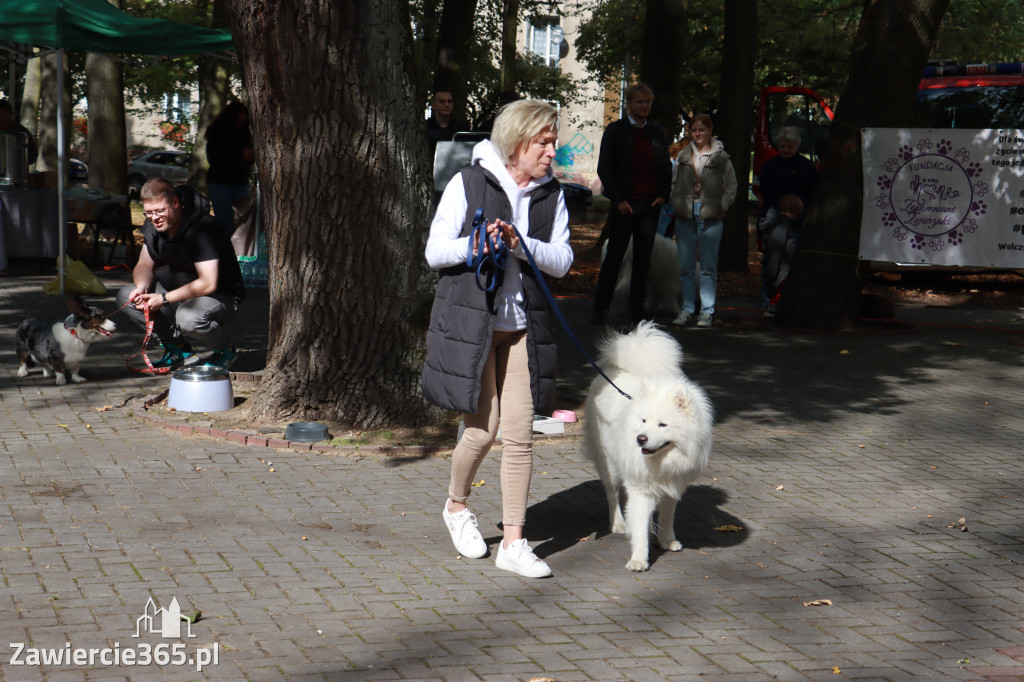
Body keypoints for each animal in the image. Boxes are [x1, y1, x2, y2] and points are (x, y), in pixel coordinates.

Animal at [585, 321, 712, 569]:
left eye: (662, 424)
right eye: (643, 421)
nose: (640, 439)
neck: (662, 459)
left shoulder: (672, 485)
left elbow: (667, 516)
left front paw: (667, 540)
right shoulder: (640, 487)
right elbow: (639, 526)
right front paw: (638, 559)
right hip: (609, 462)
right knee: (612, 492)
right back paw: (618, 524)